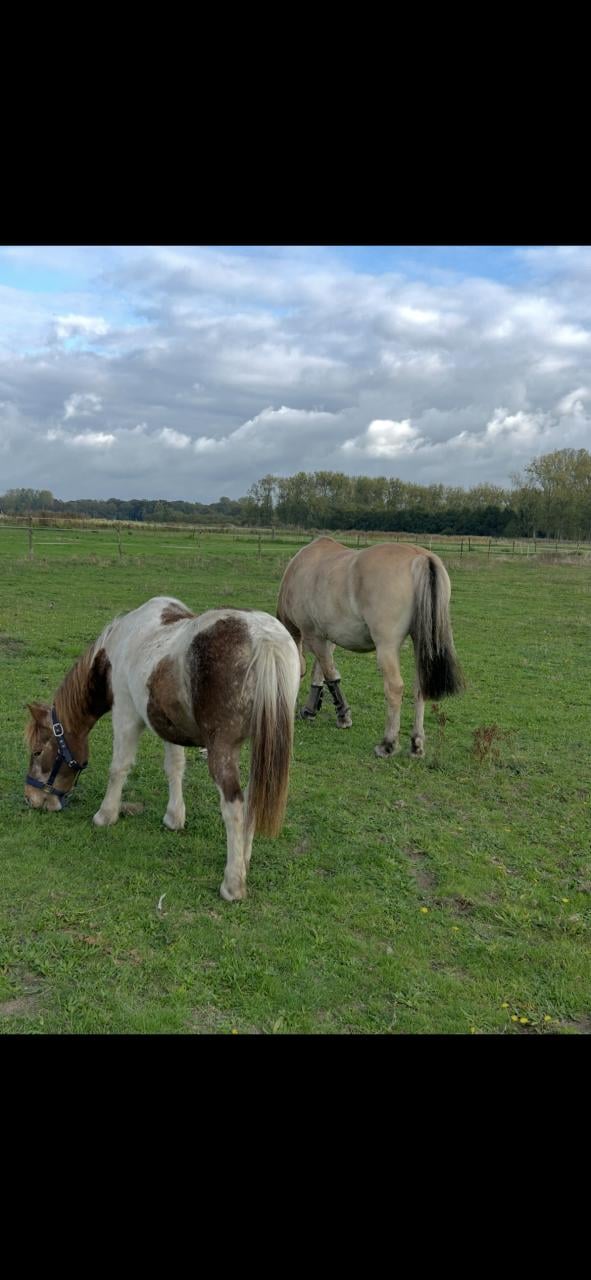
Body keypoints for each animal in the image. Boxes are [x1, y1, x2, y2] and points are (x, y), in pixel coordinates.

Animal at [24, 597, 301, 902]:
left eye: (37, 752)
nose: (30, 798)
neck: (116, 647)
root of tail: (264, 638)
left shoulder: (126, 714)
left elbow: (119, 768)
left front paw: (105, 815)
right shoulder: (169, 724)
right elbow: (174, 768)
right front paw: (174, 817)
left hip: (222, 749)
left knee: (234, 805)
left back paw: (233, 883)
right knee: (253, 798)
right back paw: (242, 859)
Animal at [277, 537, 464, 758]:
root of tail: (420, 557)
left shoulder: (314, 636)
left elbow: (329, 674)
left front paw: (342, 716)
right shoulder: (325, 638)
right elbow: (321, 671)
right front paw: (311, 709)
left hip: (386, 648)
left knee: (394, 688)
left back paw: (388, 744)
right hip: (421, 644)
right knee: (419, 688)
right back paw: (416, 744)